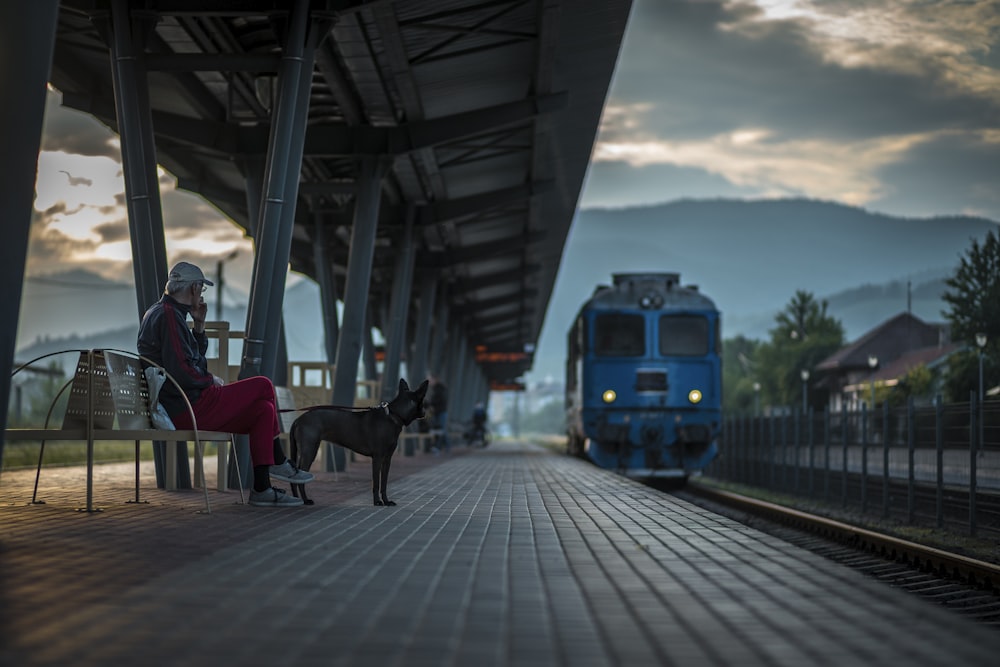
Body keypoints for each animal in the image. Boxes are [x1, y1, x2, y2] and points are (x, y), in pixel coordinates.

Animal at [290, 380, 430, 506]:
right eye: (423, 401)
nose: (425, 412)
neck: (393, 416)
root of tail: (298, 420)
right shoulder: (377, 458)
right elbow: (376, 483)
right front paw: (377, 502)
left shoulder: (387, 459)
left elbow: (384, 483)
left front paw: (386, 501)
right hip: (309, 451)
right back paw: (305, 500)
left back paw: (297, 499)